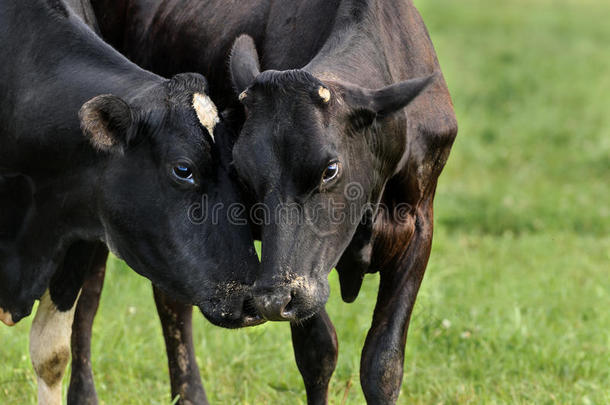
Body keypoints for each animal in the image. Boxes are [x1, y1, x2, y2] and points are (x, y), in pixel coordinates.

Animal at [71, 0, 454, 404]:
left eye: (330, 169)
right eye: (242, 172)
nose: (271, 300)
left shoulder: (418, 223)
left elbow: (383, 363)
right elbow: (318, 353)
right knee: (88, 300)